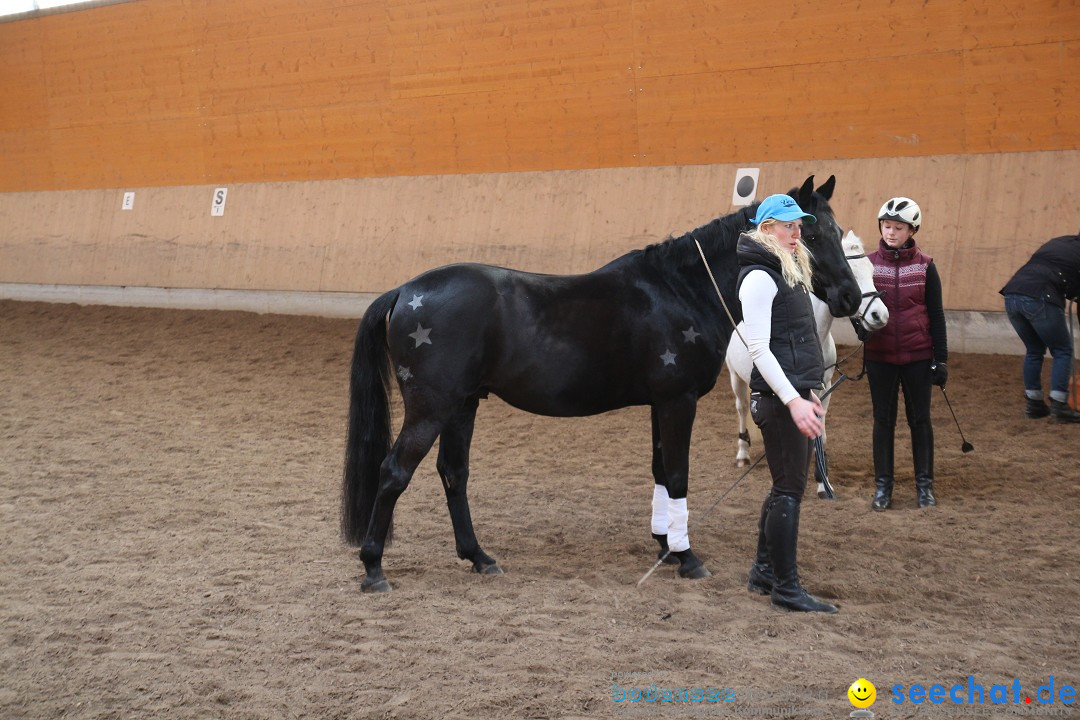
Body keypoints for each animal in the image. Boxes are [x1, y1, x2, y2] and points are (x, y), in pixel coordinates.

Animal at [341, 174, 855, 591]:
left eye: (837, 231)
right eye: (810, 232)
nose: (850, 297)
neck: (680, 291)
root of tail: (406, 291)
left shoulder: (661, 403)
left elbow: (661, 471)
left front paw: (665, 544)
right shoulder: (678, 401)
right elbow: (678, 474)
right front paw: (687, 557)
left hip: (463, 405)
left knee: (454, 473)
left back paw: (479, 557)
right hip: (431, 409)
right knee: (394, 472)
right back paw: (374, 568)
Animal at [725, 234, 885, 498]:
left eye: (872, 271)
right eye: (850, 273)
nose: (880, 315)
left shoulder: (825, 388)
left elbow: (820, 430)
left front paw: (823, 482)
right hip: (735, 379)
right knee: (741, 409)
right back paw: (741, 453)